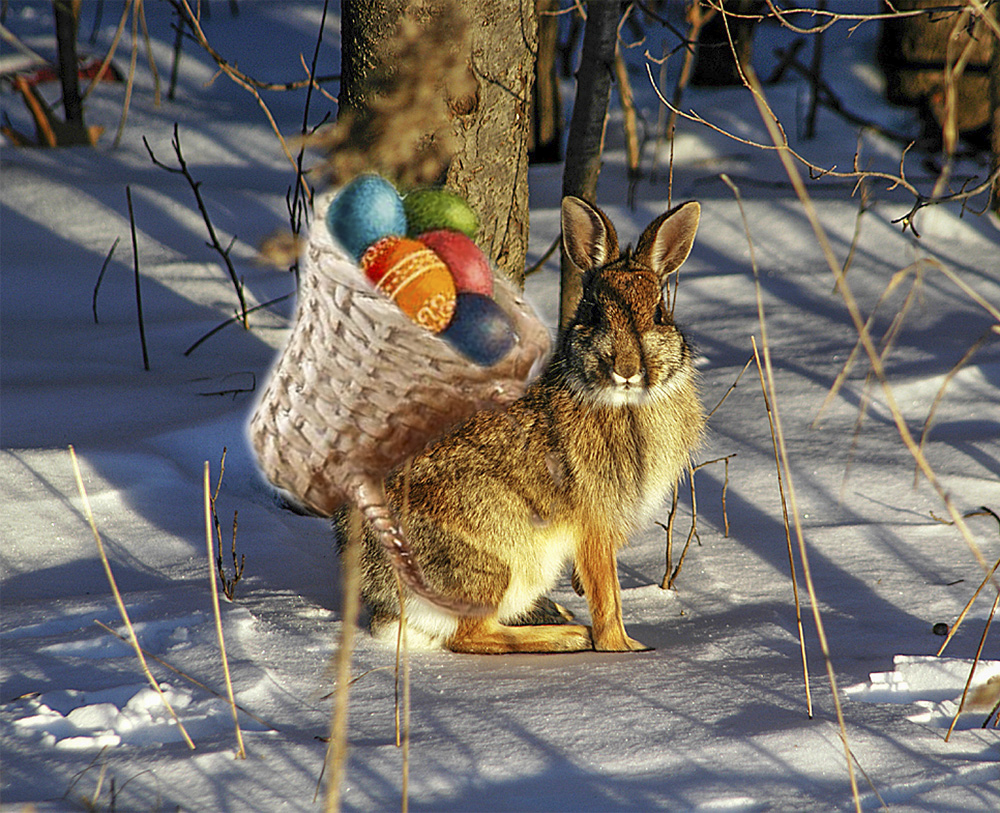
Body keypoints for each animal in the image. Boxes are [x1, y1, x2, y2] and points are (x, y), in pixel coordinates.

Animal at [340, 198, 708, 652]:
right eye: (593, 313)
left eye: (659, 314)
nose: (627, 369)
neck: (619, 400)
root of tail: (382, 594)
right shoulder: (594, 520)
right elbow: (607, 592)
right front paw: (622, 647)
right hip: (499, 557)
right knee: (471, 636)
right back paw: (568, 636)